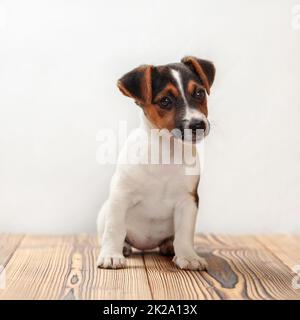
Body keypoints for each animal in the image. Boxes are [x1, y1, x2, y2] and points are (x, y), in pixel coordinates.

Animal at [97, 57, 214, 270]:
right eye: (165, 101)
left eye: (199, 93)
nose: (198, 125)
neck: (166, 152)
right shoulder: (120, 196)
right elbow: (115, 229)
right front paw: (111, 255)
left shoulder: (188, 201)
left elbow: (184, 233)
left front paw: (188, 256)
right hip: (104, 212)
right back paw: (123, 247)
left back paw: (169, 246)